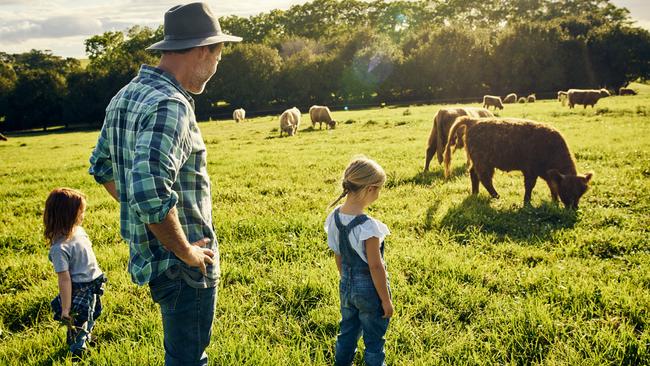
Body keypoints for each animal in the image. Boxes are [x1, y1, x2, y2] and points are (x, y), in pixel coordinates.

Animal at [442, 117, 588, 209]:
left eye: (582, 192)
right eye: (567, 189)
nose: (574, 208)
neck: (551, 148)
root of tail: (473, 121)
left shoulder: (546, 174)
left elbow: (552, 186)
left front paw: (554, 202)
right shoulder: (530, 171)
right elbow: (530, 186)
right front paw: (527, 203)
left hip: (479, 161)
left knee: (474, 174)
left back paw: (475, 193)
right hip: (484, 162)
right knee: (484, 179)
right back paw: (497, 196)